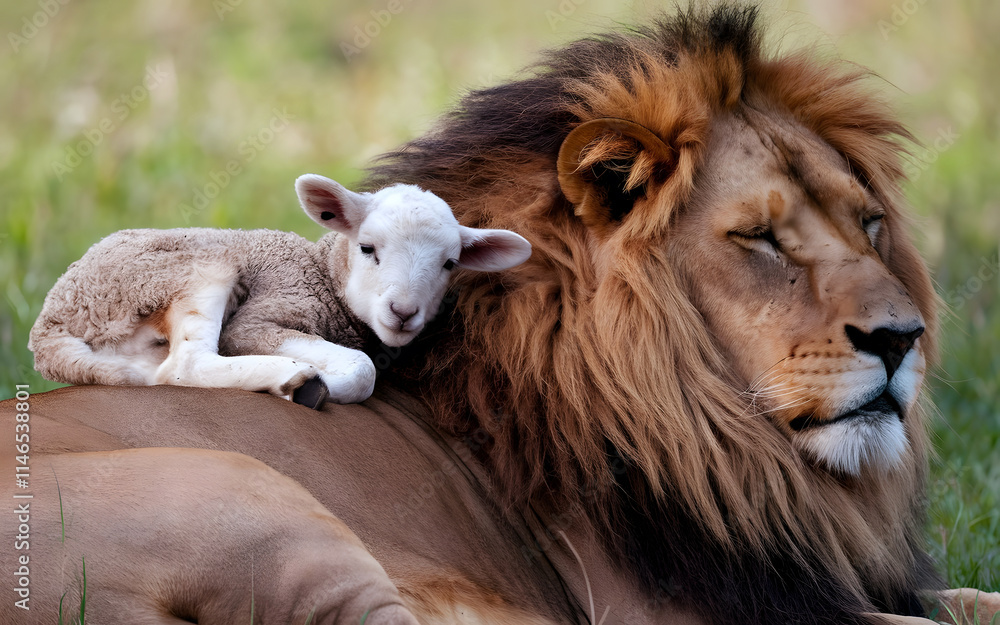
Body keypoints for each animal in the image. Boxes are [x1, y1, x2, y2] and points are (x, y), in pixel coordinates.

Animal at [28, 174, 532, 408]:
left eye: (449, 264)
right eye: (368, 248)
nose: (403, 311)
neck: (323, 275)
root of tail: (49, 326)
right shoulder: (262, 316)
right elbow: (364, 369)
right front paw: (325, 380)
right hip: (183, 270)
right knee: (186, 365)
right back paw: (295, 380)